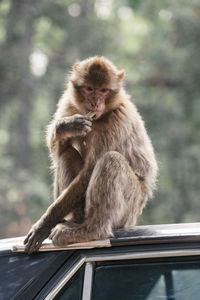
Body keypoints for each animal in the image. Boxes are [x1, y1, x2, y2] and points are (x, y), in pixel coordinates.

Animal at [23, 55, 158, 253]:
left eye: (103, 90)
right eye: (89, 89)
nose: (95, 103)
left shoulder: (117, 121)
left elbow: (90, 169)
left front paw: (45, 223)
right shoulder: (68, 104)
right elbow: (59, 153)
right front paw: (65, 126)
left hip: (130, 208)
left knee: (111, 160)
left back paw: (91, 230)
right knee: (67, 155)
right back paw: (74, 221)